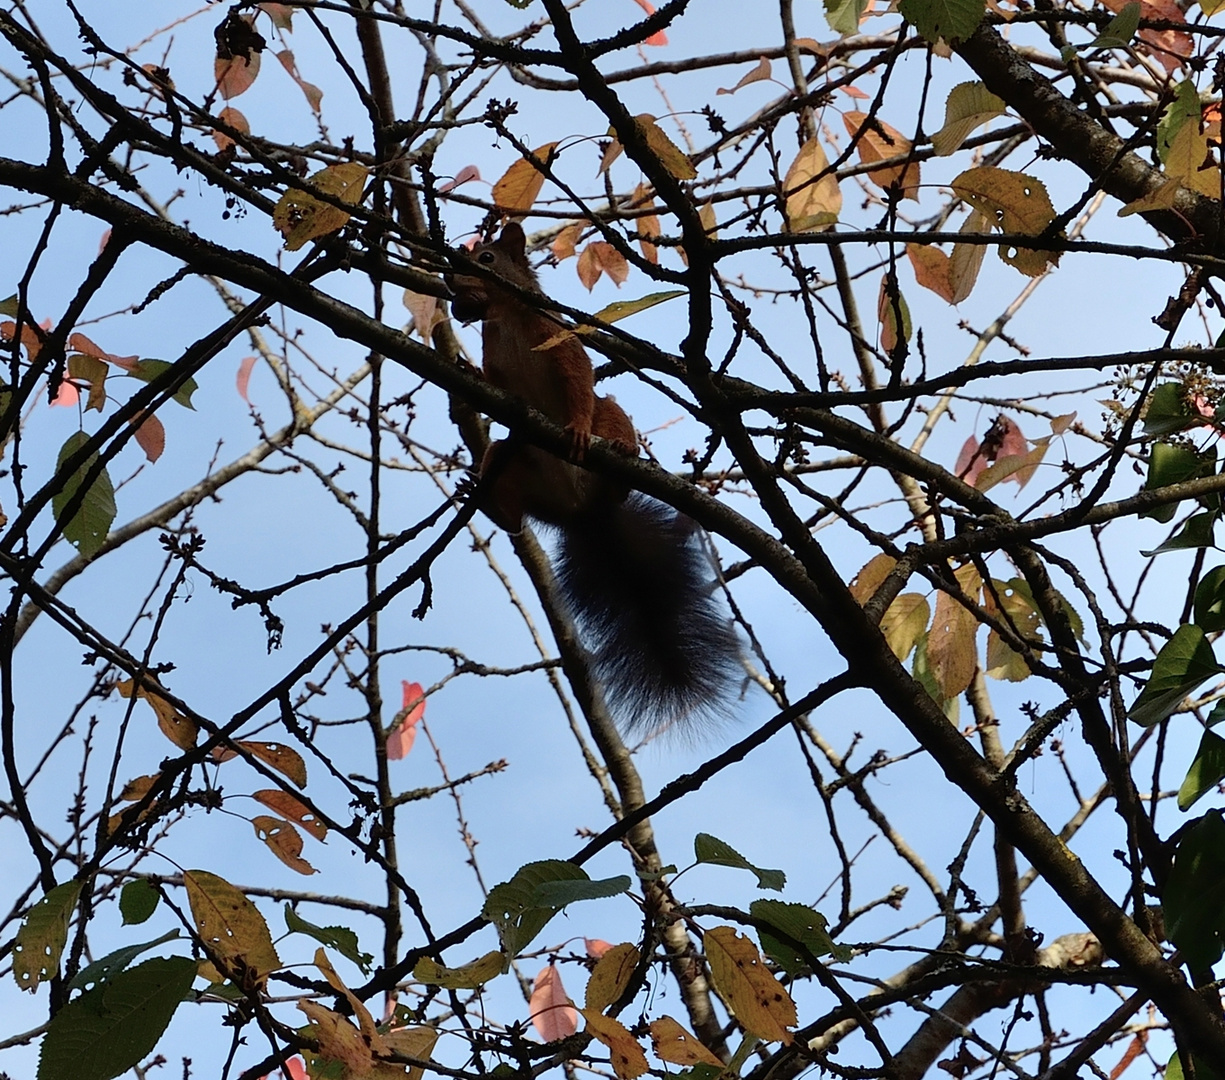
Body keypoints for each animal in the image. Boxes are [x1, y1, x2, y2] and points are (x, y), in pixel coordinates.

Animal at [450, 225, 735, 734]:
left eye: (486, 258)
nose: (447, 281)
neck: (507, 318)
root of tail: (586, 514)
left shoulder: (561, 344)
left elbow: (579, 384)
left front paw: (579, 428)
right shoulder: (498, 366)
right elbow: (493, 383)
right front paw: (464, 371)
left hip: (612, 418)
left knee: (609, 428)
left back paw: (620, 454)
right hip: (508, 459)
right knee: (513, 507)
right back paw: (489, 503)